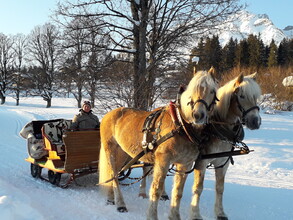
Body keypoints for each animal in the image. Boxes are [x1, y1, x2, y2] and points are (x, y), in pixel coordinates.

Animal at [99, 68, 218, 219]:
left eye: (212, 91)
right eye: (192, 90)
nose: (197, 115)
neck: (180, 125)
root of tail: (108, 115)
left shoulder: (185, 163)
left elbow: (178, 192)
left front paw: (174, 216)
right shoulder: (163, 160)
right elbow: (156, 189)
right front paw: (152, 215)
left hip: (123, 153)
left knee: (113, 173)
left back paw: (111, 199)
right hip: (110, 150)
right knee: (114, 175)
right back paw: (120, 204)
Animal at [190, 73, 262, 219]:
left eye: (255, 97)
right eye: (241, 96)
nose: (255, 122)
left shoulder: (223, 163)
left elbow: (220, 188)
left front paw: (220, 212)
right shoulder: (201, 162)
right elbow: (198, 188)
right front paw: (195, 214)